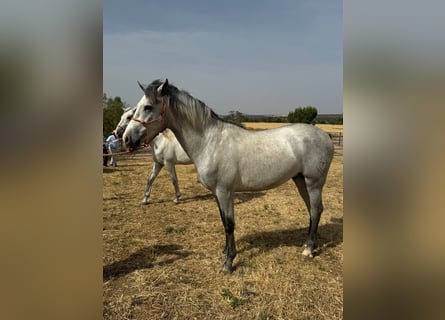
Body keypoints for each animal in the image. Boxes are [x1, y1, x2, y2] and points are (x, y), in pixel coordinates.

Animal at [123, 79, 332, 272]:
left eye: (148, 107)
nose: (126, 139)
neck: (210, 142)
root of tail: (325, 135)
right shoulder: (217, 193)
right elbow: (224, 221)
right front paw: (225, 252)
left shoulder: (225, 191)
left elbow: (230, 224)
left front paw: (229, 263)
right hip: (300, 180)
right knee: (312, 211)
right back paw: (309, 244)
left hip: (314, 183)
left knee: (316, 210)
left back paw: (309, 250)